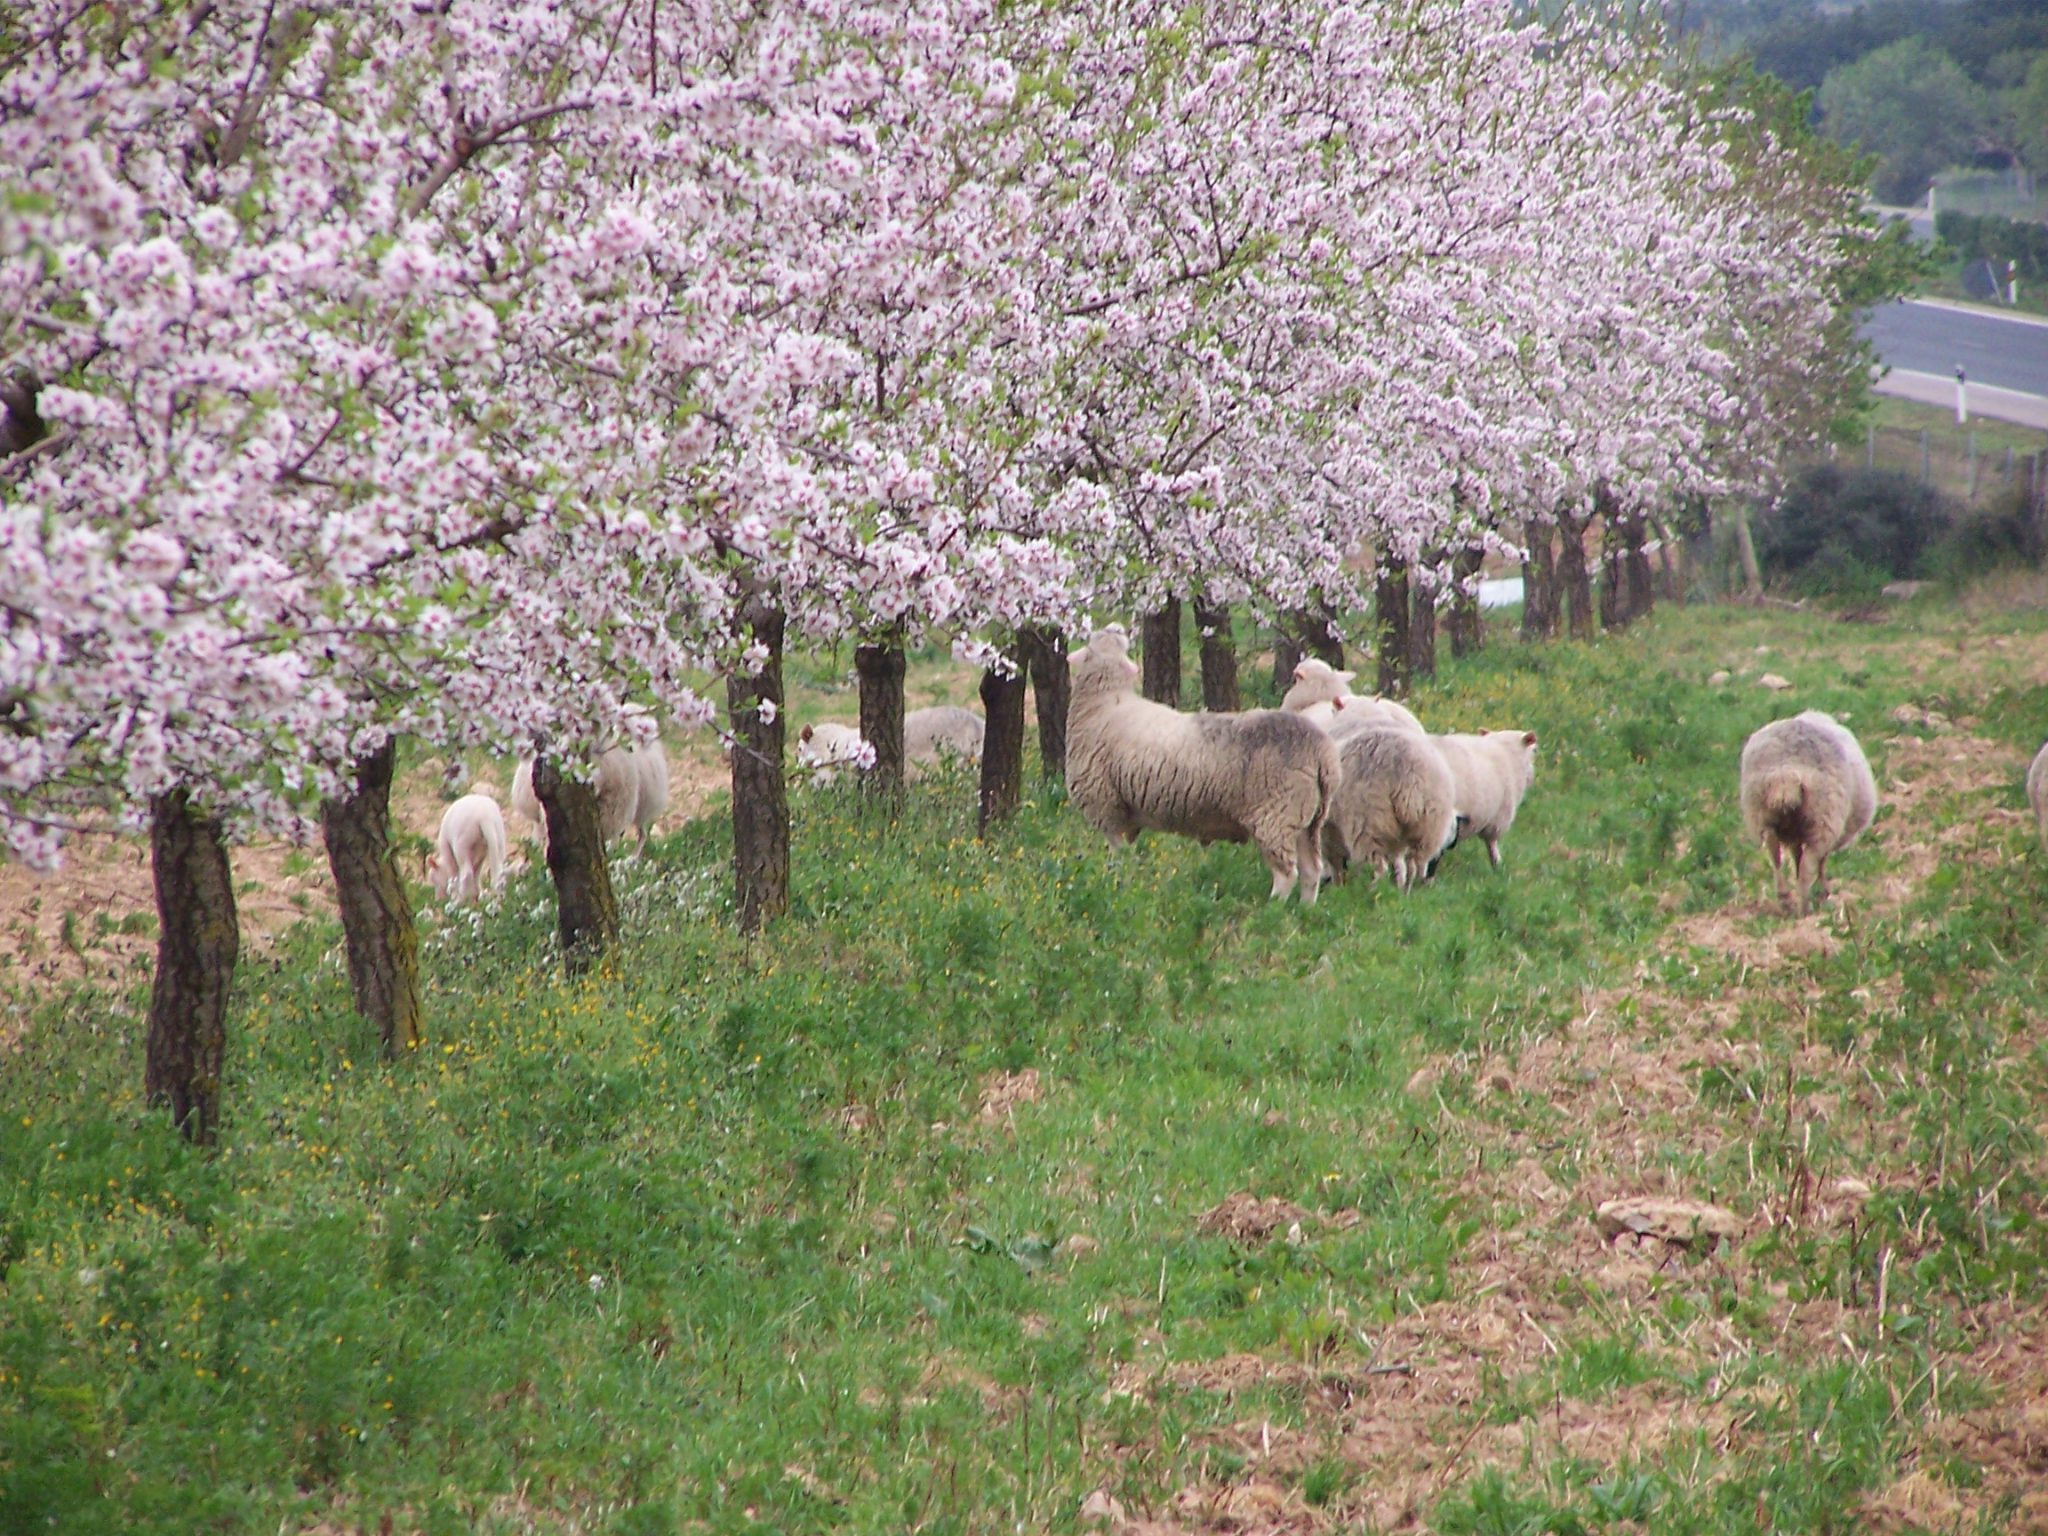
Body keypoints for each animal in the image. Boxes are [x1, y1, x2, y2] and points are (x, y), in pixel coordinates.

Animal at [1056, 634, 1343, 909]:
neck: (1105, 703)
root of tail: (1322, 753)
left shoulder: (1107, 809)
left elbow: (1119, 859)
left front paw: (1119, 888)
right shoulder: (1126, 817)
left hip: (1276, 817)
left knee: (1286, 874)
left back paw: (1273, 908)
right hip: (1307, 820)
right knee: (1311, 871)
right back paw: (1304, 910)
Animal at [1327, 729, 1458, 897]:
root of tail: (1410, 775)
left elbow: (1333, 863)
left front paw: (1336, 889)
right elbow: (1398, 865)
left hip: (1368, 823)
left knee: (1378, 868)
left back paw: (1372, 894)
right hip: (1429, 825)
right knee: (1413, 865)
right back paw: (1404, 893)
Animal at [1736, 708, 1875, 913]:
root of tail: (1786, 773)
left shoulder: (1795, 835)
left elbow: (1796, 856)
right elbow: (1820, 863)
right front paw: (1825, 891)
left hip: (1761, 815)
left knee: (1775, 856)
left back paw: (1785, 898)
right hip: (1824, 820)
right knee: (1807, 869)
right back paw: (1805, 908)